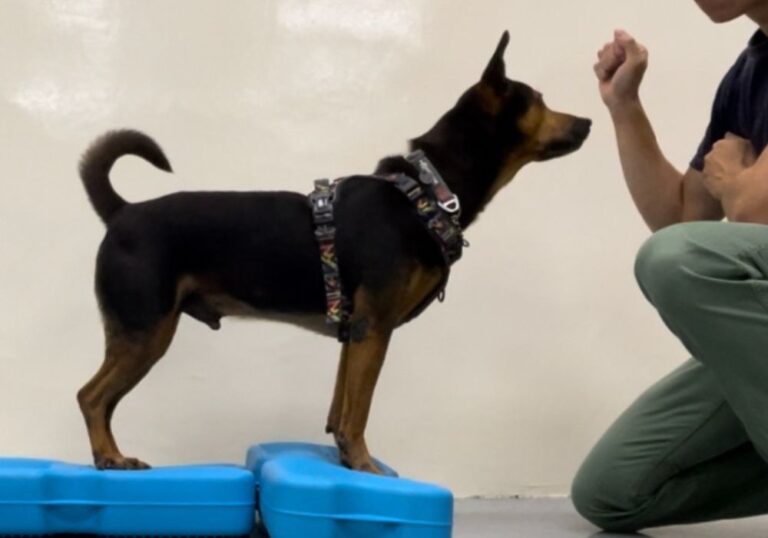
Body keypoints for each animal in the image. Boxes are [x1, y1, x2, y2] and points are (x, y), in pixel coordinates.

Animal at [76, 31, 588, 472]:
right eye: (539, 100)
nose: (586, 121)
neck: (426, 191)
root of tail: (122, 211)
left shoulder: (354, 331)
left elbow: (340, 409)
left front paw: (346, 460)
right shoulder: (373, 327)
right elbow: (358, 412)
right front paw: (364, 466)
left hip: (139, 332)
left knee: (101, 399)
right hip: (145, 329)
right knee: (92, 397)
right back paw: (111, 458)